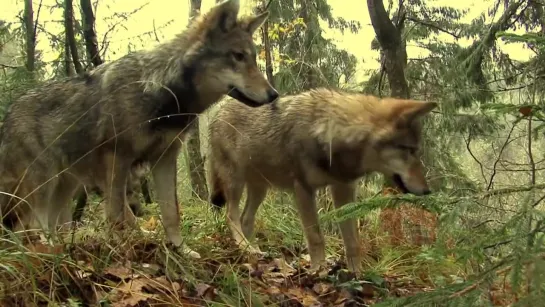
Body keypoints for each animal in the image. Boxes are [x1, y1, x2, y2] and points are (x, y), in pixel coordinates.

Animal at [0, 0, 276, 258]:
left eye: (253, 57)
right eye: (238, 56)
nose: (274, 94)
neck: (163, 96)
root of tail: (8, 114)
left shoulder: (165, 158)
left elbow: (171, 213)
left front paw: (182, 251)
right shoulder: (116, 158)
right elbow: (114, 214)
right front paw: (116, 249)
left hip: (65, 186)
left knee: (45, 224)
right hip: (43, 184)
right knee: (30, 224)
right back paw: (44, 252)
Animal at [206, 88, 436, 274]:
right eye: (411, 151)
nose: (427, 191)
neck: (331, 132)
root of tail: (218, 109)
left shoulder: (344, 188)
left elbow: (353, 241)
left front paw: (357, 276)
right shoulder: (303, 189)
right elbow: (316, 237)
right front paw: (318, 272)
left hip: (260, 188)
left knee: (246, 218)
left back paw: (255, 250)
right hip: (235, 182)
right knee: (231, 215)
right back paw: (243, 246)